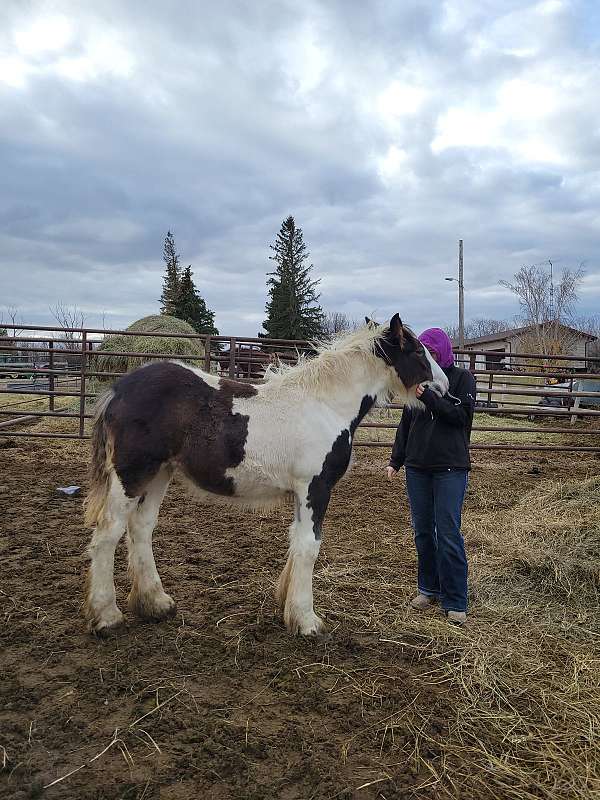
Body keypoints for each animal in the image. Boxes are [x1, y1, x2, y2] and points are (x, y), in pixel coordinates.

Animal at [84, 316, 450, 636]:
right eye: (418, 351)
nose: (445, 387)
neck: (326, 406)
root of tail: (118, 390)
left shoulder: (302, 493)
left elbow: (297, 541)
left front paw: (288, 607)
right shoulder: (315, 488)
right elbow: (310, 545)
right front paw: (307, 621)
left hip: (160, 473)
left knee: (141, 527)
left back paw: (156, 603)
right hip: (131, 474)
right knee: (108, 533)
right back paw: (107, 616)